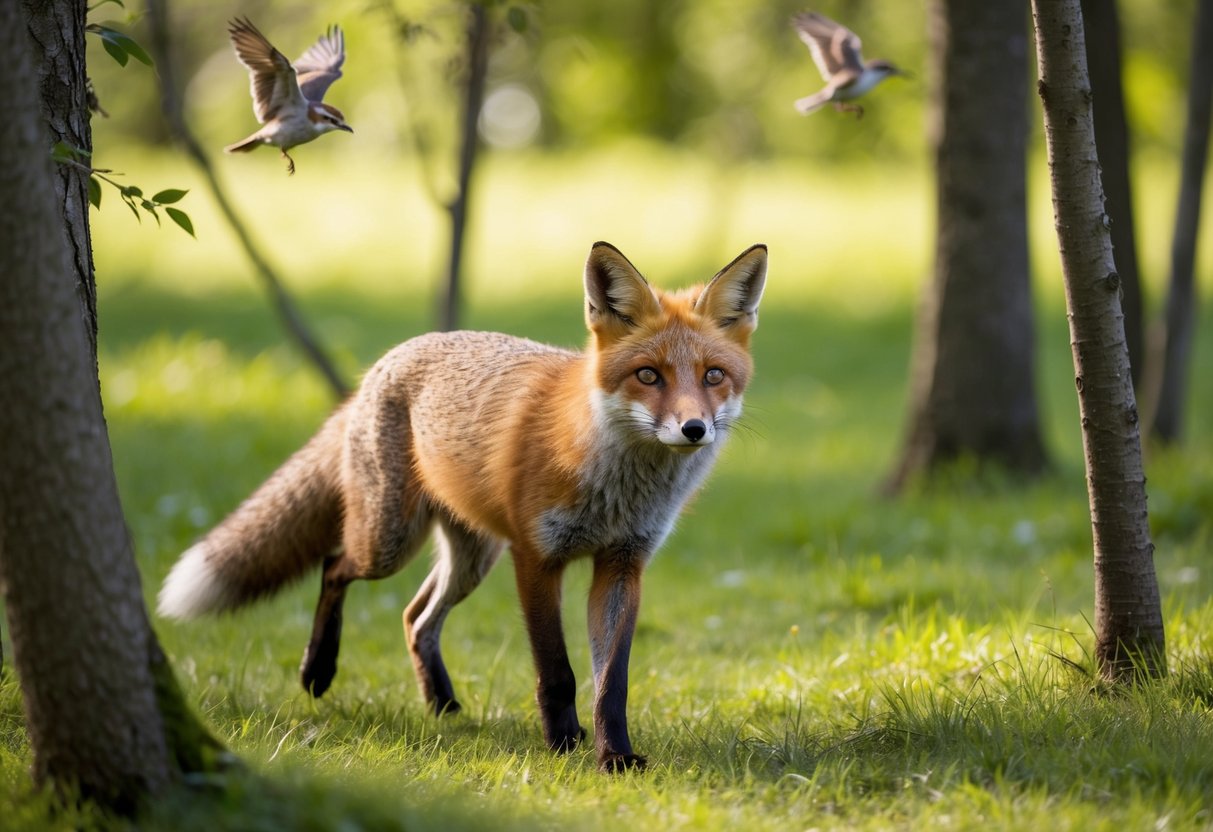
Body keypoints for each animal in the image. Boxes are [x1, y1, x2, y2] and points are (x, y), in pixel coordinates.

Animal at [158, 241, 767, 771]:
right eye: (648, 375)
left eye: (713, 375)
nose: (694, 429)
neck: (613, 487)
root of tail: (385, 361)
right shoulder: (535, 558)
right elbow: (558, 672)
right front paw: (563, 746)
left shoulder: (622, 564)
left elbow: (610, 683)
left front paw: (614, 756)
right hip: (390, 541)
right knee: (335, 565)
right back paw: (318, 670)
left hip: (471, 558)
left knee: (415, 616)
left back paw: (442, 704)